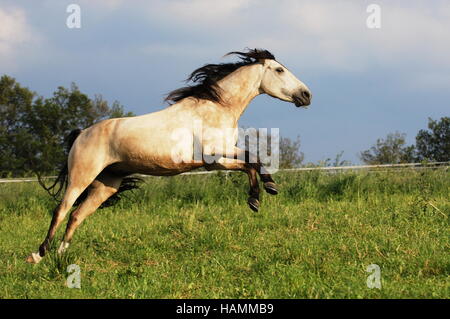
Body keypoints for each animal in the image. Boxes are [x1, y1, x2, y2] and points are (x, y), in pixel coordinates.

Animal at [26, 48, 312, 264]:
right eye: (279, 70)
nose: (306, 95)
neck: (216, 107)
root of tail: (82, 133)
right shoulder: (213, 153)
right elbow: (254, 157)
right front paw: (265, 191)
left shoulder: (216, 160)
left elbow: (250, 163)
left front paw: (258, 196)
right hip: (82, 176)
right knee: (61, 210)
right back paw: (38, 255)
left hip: (107, 184)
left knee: (77, 215)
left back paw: (61, 255)